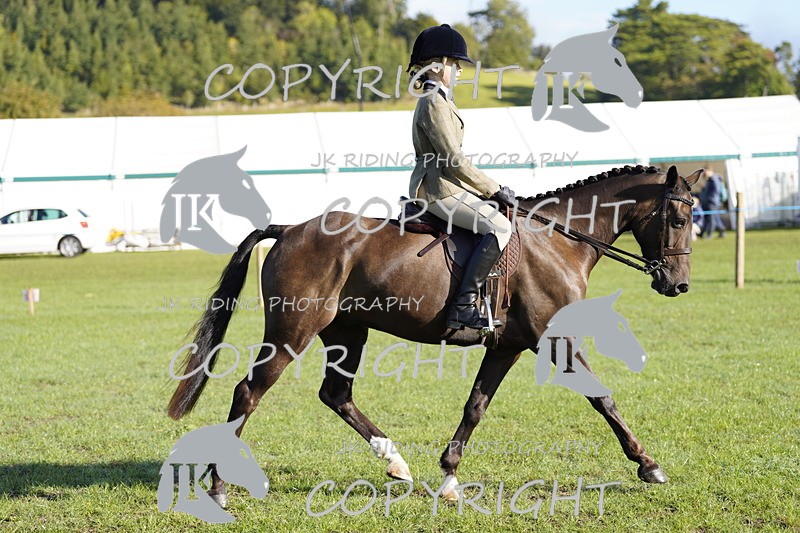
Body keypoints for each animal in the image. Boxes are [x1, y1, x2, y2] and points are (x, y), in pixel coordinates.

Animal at [167, 163, 701, 506]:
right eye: (678, 218)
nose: (677, 285)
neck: (559, 239)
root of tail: (290, 228)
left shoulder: (508, 345)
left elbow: (475, 406)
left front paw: (448, 476)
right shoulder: (554, 341)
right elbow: (602, 397)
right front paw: (648, 464)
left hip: (348, 331)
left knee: (336, 393)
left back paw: (395, 463)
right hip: (291, 333)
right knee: (248, 392)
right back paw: (217, 487)